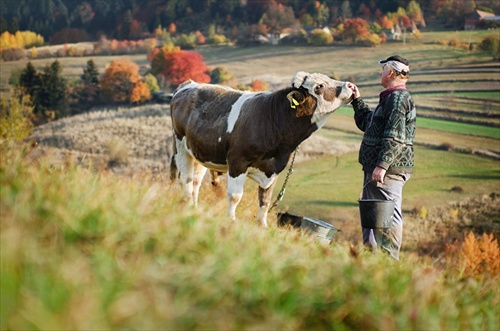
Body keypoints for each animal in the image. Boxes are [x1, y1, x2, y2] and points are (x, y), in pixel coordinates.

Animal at [170, 71, 354, 228]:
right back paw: (187, 206)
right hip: (180, 145)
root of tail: (189, 84)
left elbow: (265, 200)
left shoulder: (274, 169)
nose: (351, 86)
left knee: (196, 181)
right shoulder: (238, 161)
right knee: (186, 178)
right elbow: (235, 196)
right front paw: (231, 220)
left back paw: (195, 208)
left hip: (199, 152)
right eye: (319, 86)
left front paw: (262, 225)